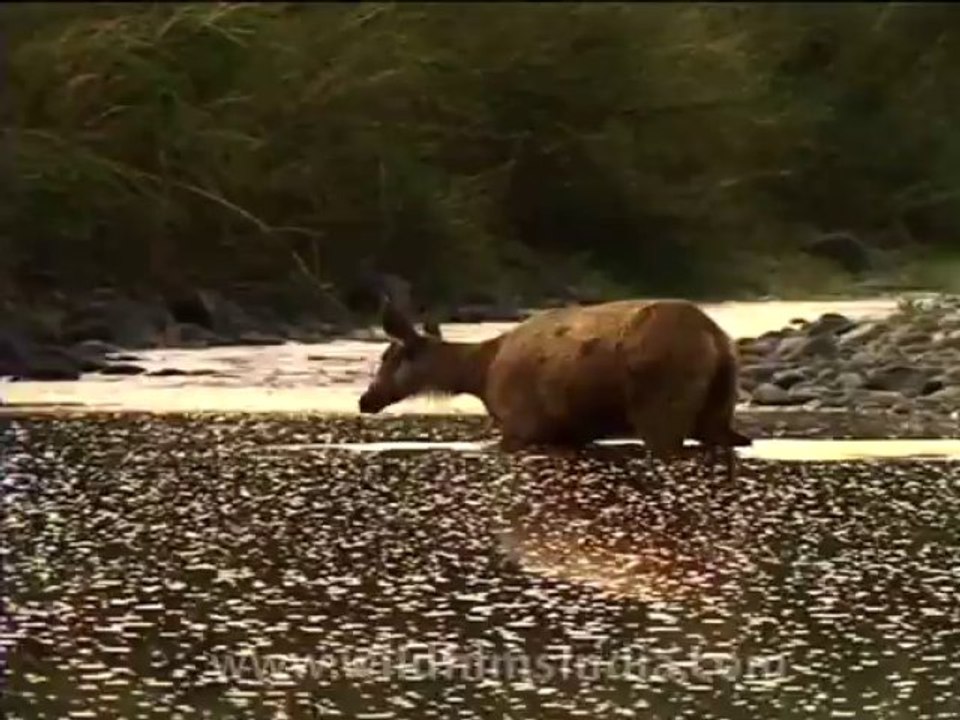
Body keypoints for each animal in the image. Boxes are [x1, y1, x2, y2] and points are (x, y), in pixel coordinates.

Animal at [358, 296, 752, 480]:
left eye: (387, 356)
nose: (366, 399)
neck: (480, 375)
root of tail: (716, 338)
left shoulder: (521, 425)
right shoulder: (568, 432)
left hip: (662, 406)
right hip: (719, 407)